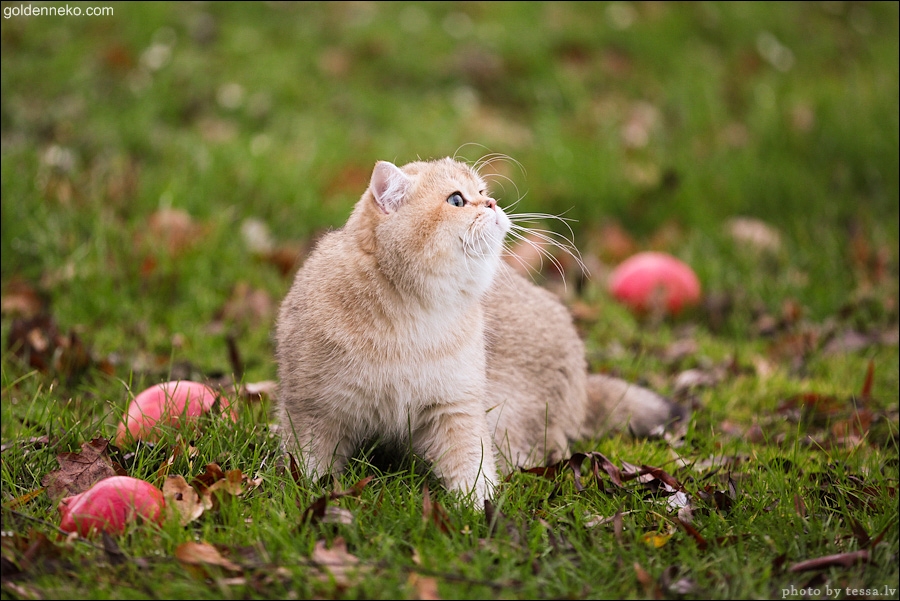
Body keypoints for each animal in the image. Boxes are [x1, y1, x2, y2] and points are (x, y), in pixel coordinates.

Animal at [274, 155, 688, 506]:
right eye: (457, 200)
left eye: (483, 192)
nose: (491, 205)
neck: (412, 316)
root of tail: (585, 383)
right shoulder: (311, 410)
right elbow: (309, 466)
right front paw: (307, 494)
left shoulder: (457, 409)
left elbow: (471, 464)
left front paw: (478, 513)